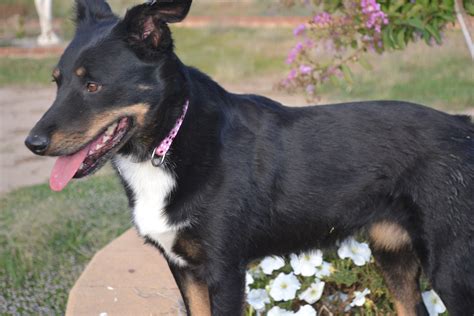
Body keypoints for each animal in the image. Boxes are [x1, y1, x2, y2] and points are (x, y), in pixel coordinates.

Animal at [25, 1, 474, 314]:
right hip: (393, 253)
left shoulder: (225, 270)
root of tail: (464, 126)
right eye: (57, 82)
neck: (169, 141)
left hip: (452, 268)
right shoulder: (184, 268)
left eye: (94, 86)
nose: (33, 143)